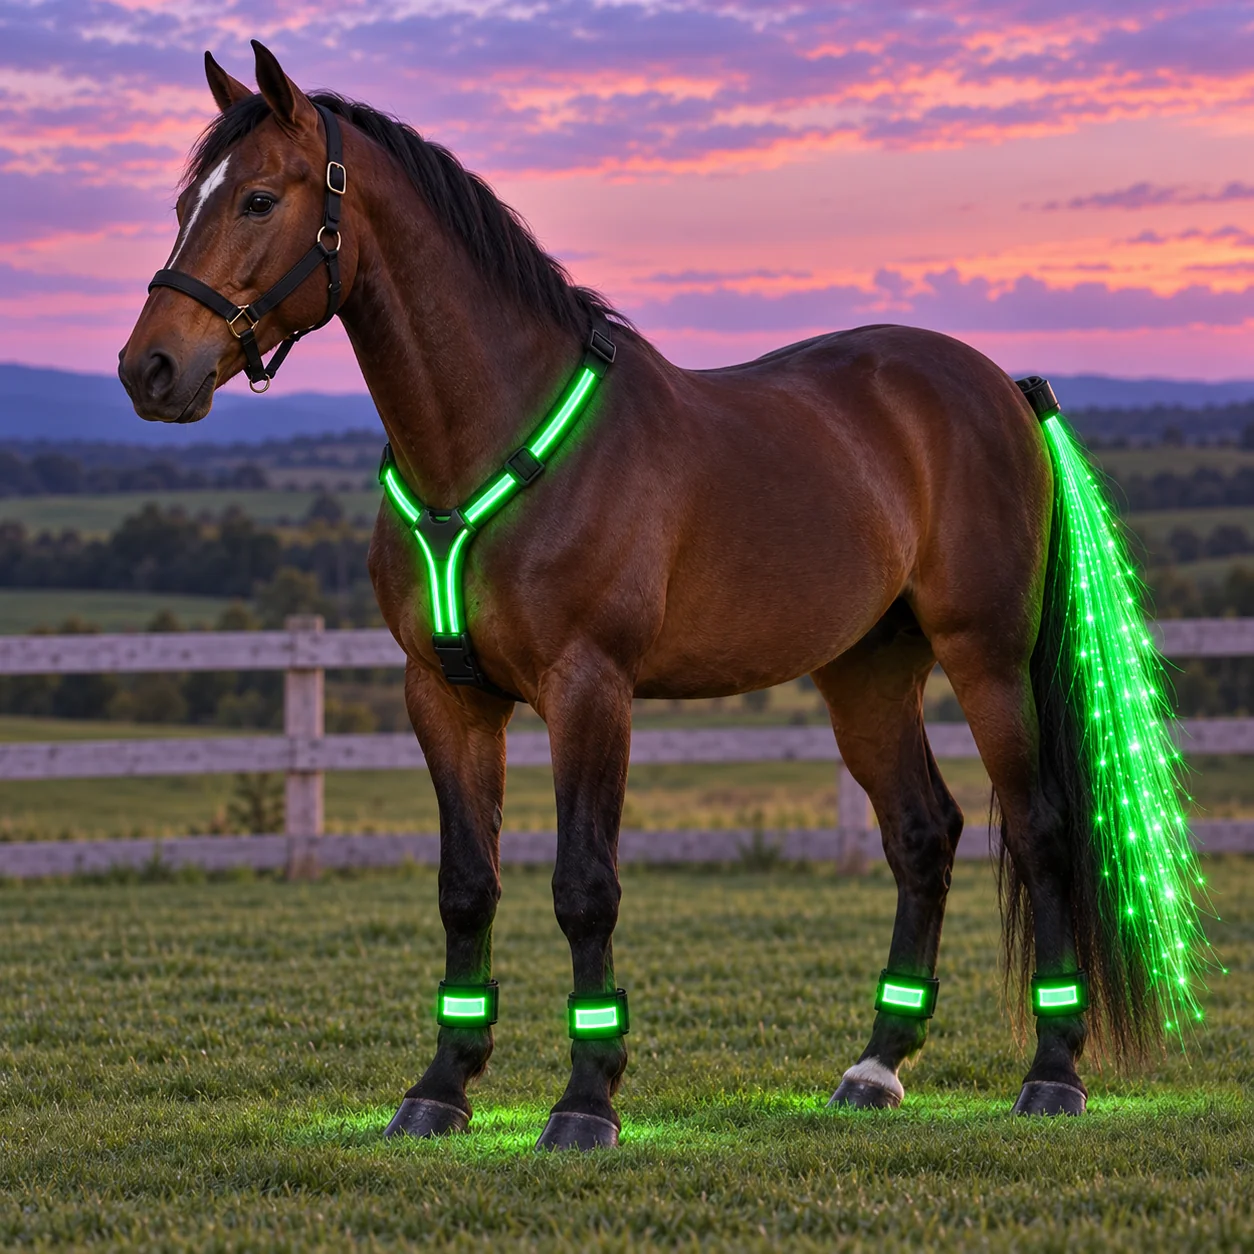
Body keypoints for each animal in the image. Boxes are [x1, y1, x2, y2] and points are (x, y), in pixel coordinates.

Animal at [119, 41, 1206, 1150]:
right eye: (184, 202)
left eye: (258, 198)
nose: (149, 368)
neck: (491, 440)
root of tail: (999, 389)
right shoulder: (446, 696)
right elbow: (468, 887)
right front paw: (440, 1088)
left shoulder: (589, 690)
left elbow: (584, 888)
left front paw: (586, 1100)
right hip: (867, 674)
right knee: (921, 835)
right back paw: (874, 1067)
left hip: (985, 655)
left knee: (1041, 832)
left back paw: (1053, 1073)